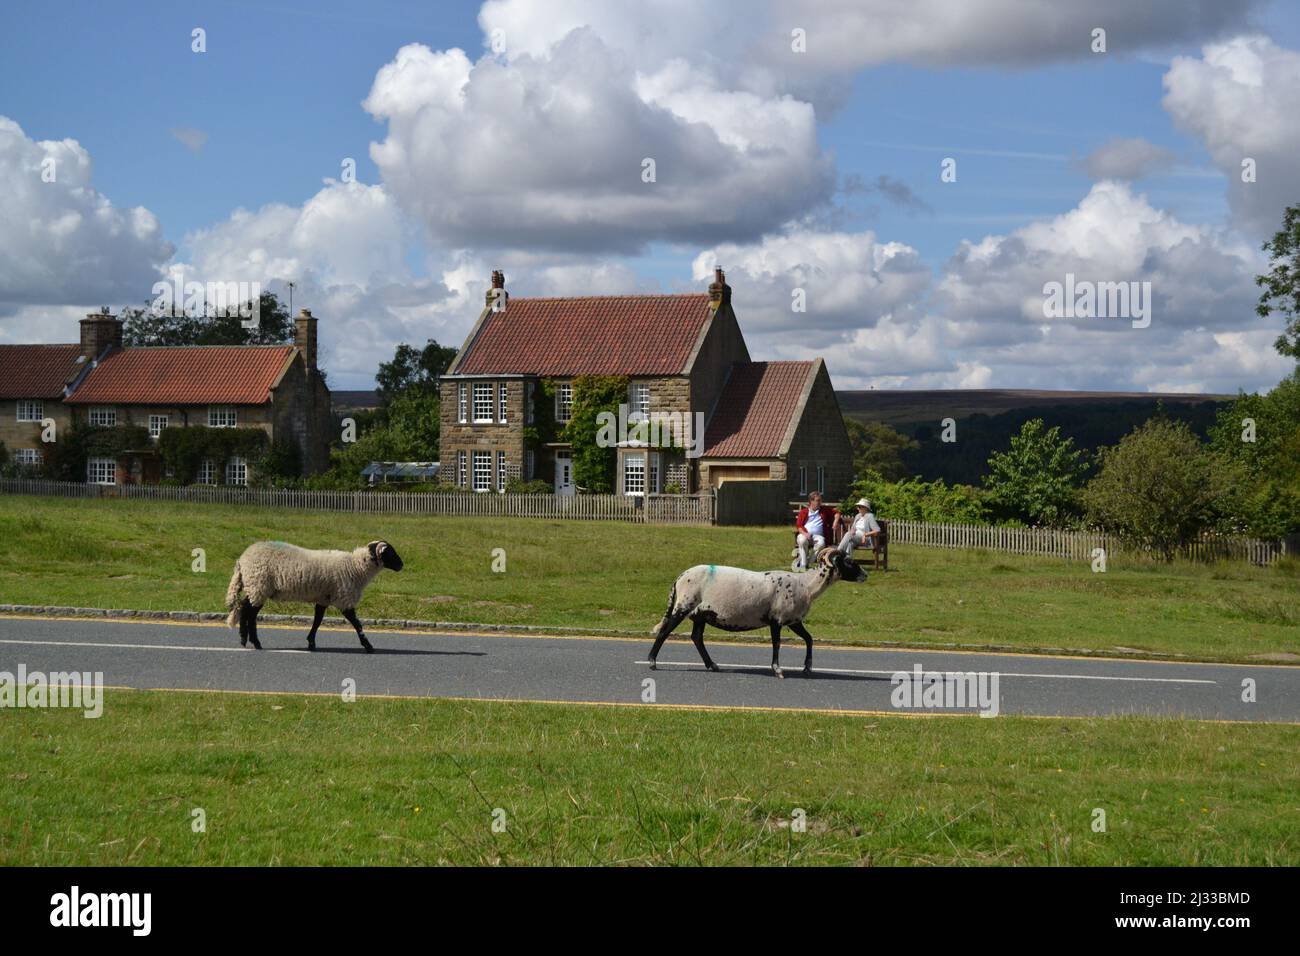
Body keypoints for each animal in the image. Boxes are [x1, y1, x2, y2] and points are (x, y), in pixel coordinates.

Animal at [223, 541, 403, 655]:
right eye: (390, 552)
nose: (402, 565)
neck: (356, 567)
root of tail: (242, 560)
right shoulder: (344, 598)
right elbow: (357, 623)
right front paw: (368, 646)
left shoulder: (323, 598)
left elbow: (317, 621)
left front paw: (311, 643)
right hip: (259, 586)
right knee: (249, 613)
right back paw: (254, 642)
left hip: (255, 588)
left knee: (243, 609)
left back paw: (245, 639)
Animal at [647, 546, 868, 681]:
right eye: (849, 562)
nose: (865, 575)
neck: (806, 585)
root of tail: (680, 577)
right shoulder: (777, 619)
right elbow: (777, 644)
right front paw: (778, 670)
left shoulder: (793, 620)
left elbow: (809, 639)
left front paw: (807, 668)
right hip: (684, 604)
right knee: (665, 631)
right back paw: (652, 661)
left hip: (701, 613)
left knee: (696, 637)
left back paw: (712, 665)